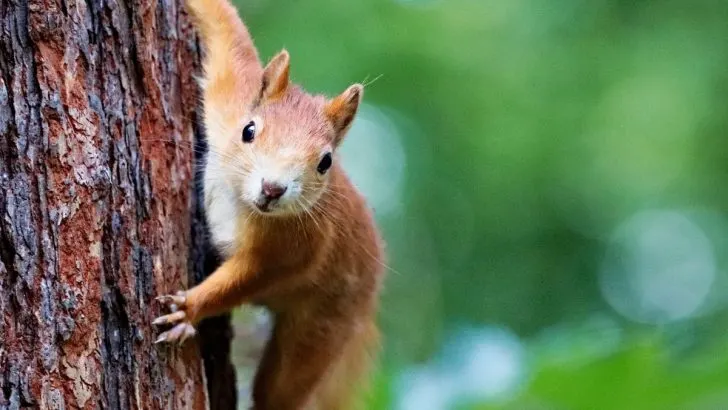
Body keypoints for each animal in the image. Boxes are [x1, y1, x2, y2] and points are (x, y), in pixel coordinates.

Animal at [152, 0, 386, 409]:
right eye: (249, 130)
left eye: (325, 162)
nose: (273, 188)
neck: (240, 200)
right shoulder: (230, 96)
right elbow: (228, 35)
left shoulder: (295, 246)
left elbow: (245, 279)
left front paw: (189, 308)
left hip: (321, 328)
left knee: (278, 392)